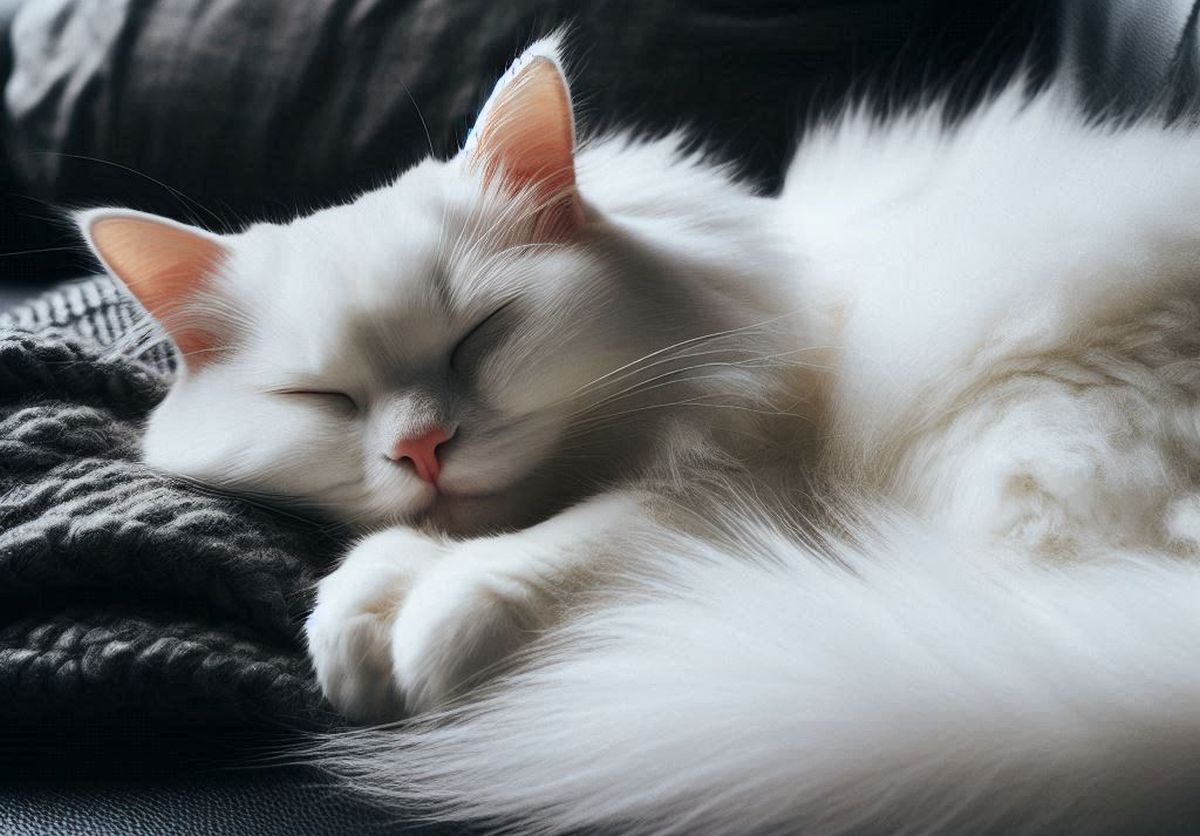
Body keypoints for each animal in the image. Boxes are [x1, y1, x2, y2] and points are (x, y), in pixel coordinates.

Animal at [79, 35, 1200, 834]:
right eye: (325, 398)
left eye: (480, 335)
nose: (424, 448)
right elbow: (387, 556)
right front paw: (357, 630)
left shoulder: (739, 479)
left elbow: (565, 546)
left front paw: (433, 631)